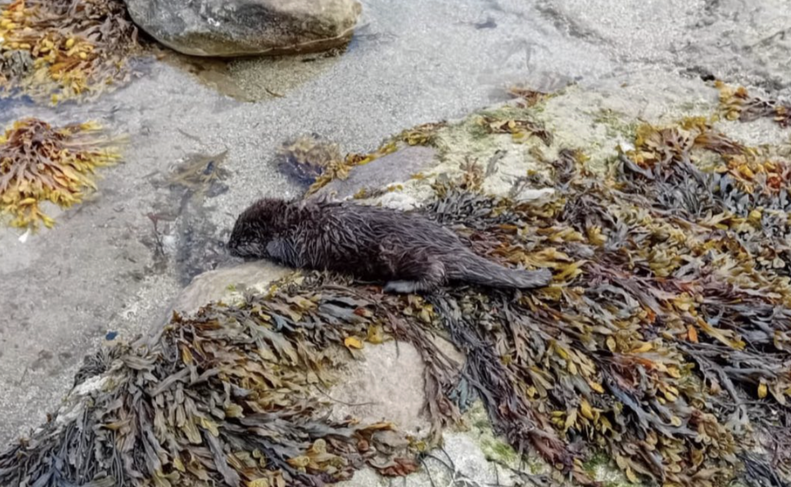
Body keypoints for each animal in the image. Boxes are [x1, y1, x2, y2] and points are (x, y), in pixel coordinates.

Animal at [227, 197, 552, 294]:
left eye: (240, 239)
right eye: (232, 234)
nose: (228, 246)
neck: (295, 219)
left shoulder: (294, 240)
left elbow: (280, 249)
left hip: (402, 252)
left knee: (436, 275)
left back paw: (397, 286)